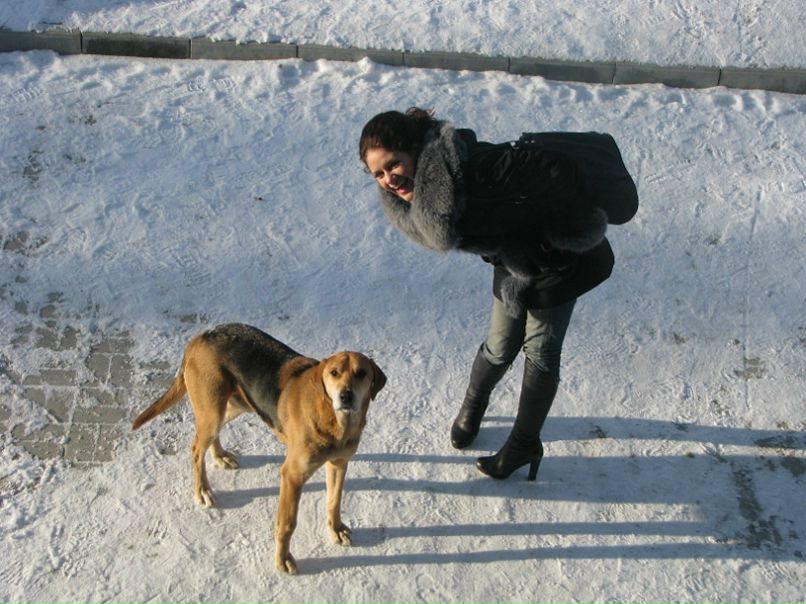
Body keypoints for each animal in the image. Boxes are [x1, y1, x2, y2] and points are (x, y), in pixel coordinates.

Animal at [131, 323, 386, 574]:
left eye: (362, 374)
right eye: (334, 373)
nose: (346, 396)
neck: (335, 421)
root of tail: (201, 336)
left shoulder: (339, 464)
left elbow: (334, 501)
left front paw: (336, 529)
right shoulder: (292, 476)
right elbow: (287, 524)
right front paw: (283, 559)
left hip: (232, 406)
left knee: (209, 437)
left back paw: (220, 456)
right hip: (213, 411)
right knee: (195, 448)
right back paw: (203, 490)